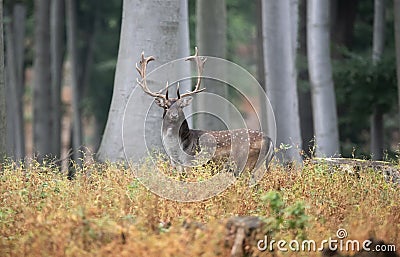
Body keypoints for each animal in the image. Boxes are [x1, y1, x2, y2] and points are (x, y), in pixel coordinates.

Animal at [136, 47, 274, 180]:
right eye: (166, 106)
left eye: (181, 106)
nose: (174, 115)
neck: (177, 153)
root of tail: (269, 139)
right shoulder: (179, 170)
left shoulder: (191, 167)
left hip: (245, 166)